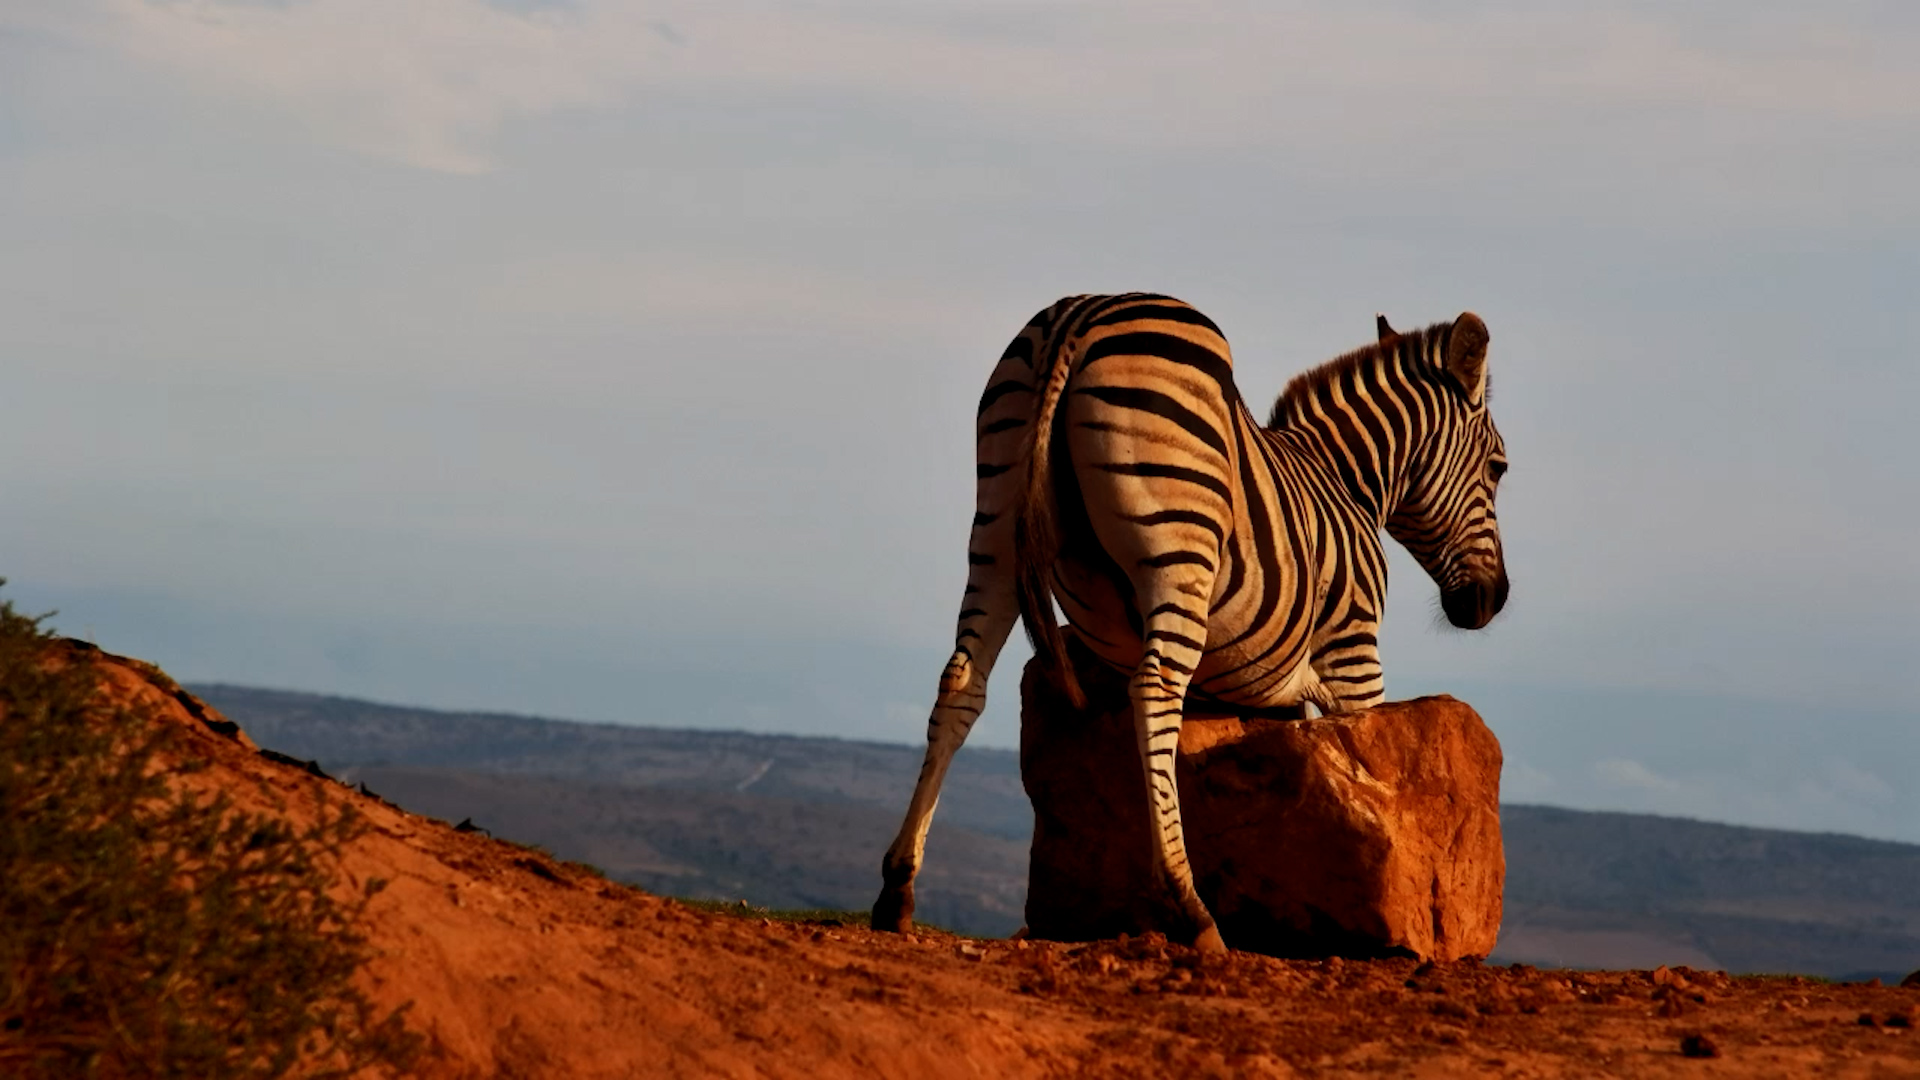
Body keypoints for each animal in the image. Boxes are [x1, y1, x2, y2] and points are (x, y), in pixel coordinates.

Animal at [871, 293, 1509, 952]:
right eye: (1498, 468)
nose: (1492, 601)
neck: (1346, 485)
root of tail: (1080, 315)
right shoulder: (1351, 651)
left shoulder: (1274, 688)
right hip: (1180, 549)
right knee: (1154, 693)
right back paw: (1190, 908)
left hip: (996, 523)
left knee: (961, 680)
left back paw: (897, 888)